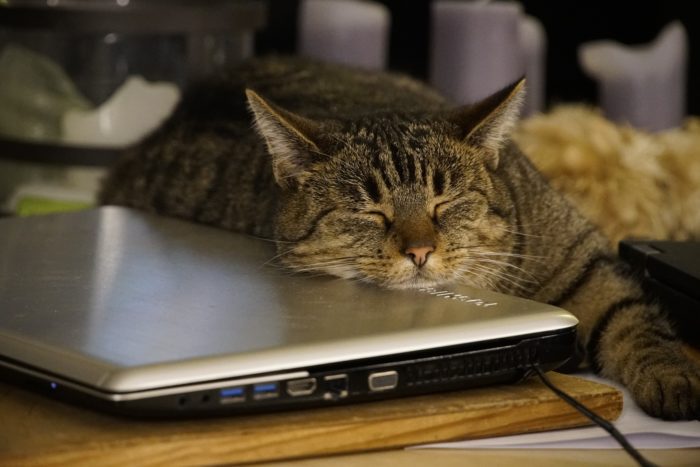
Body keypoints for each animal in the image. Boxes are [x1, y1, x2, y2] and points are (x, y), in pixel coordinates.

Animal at [100, 55, 700, 420]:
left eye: (444, 202)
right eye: (370, 211)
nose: (419, 251)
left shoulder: (585, 263)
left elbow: (637, 322)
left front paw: (675, 377)